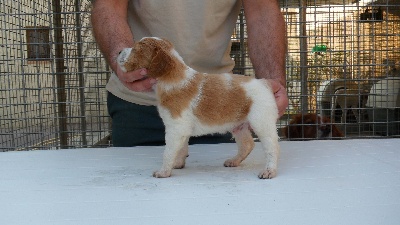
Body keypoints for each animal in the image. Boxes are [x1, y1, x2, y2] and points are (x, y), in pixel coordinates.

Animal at [115, 37, 280, 178]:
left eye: (136, 49)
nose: (118, 51)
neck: (173, 76)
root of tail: (265, 83)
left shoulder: (176, 128)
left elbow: (168, 152)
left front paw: (164, 171)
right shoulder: (180, 130)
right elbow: (181, 149)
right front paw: (177, 164)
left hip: (262, 123)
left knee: (272, 148)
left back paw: (269, 171)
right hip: (238, 126)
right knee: (247, 144)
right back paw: (234, 161)